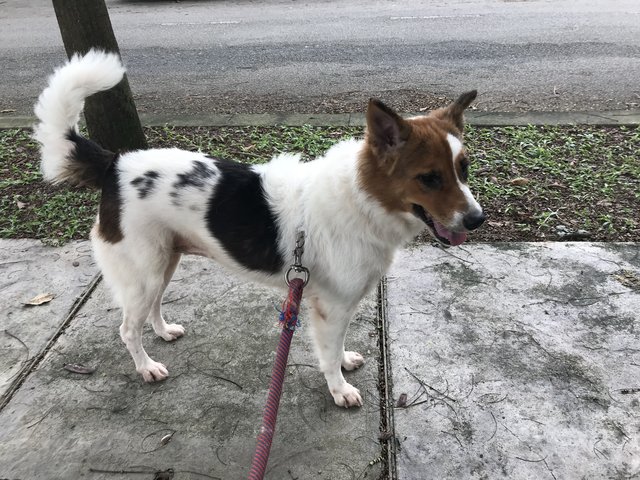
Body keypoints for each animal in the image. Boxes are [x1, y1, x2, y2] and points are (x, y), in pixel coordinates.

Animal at [33, 50, 484, 406]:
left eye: (463, 169)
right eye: (429, 178)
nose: (477, 219)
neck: (362, 198)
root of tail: (115, 163)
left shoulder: (335, 302)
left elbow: (336, 347)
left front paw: (343, 363)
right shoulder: (332, 306)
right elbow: (327, 352)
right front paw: (338, 388)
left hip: (162, 262)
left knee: (152, 308)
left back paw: (163, 332)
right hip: (143, 270)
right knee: (128, 328)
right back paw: (147, 367)